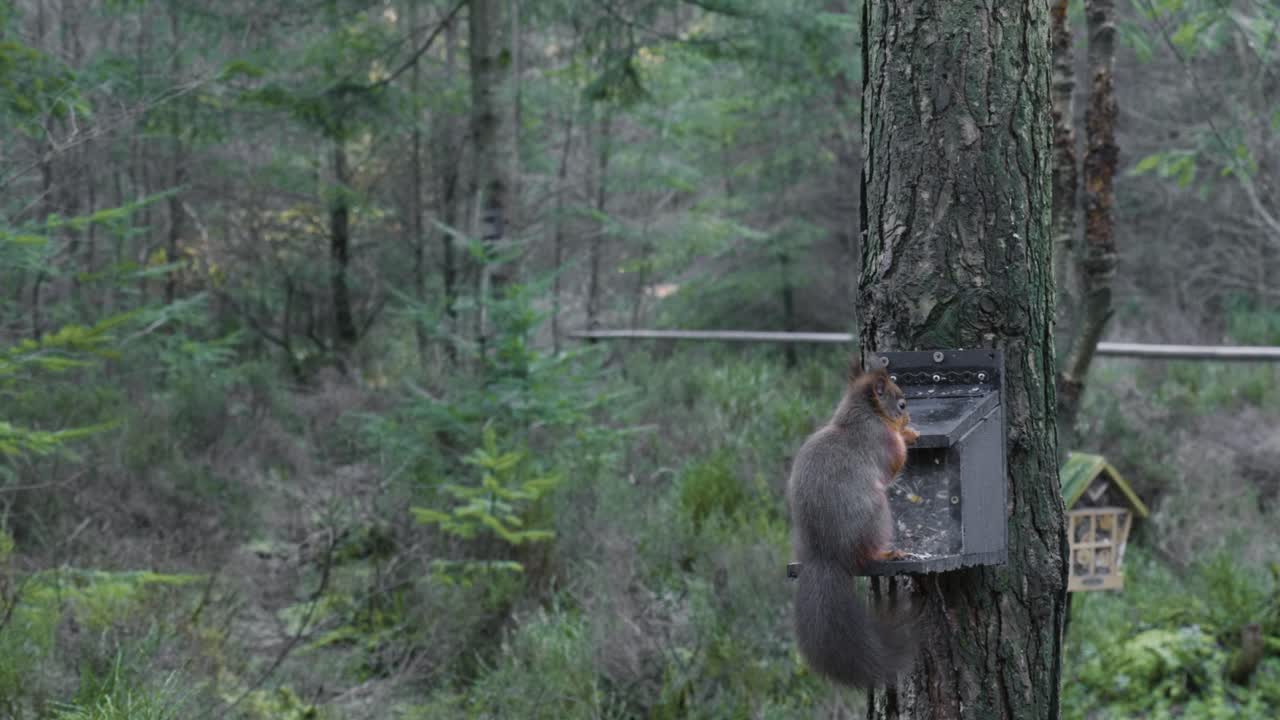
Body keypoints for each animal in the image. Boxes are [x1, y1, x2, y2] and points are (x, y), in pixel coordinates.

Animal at [787, 362, 920, 687]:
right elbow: (896, 461)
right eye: (901, 404)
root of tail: (827, 556)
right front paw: (908, 434)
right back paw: (888, 553)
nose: (909, 416)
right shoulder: (882, 442)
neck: (863, 415)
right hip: (878, 514)